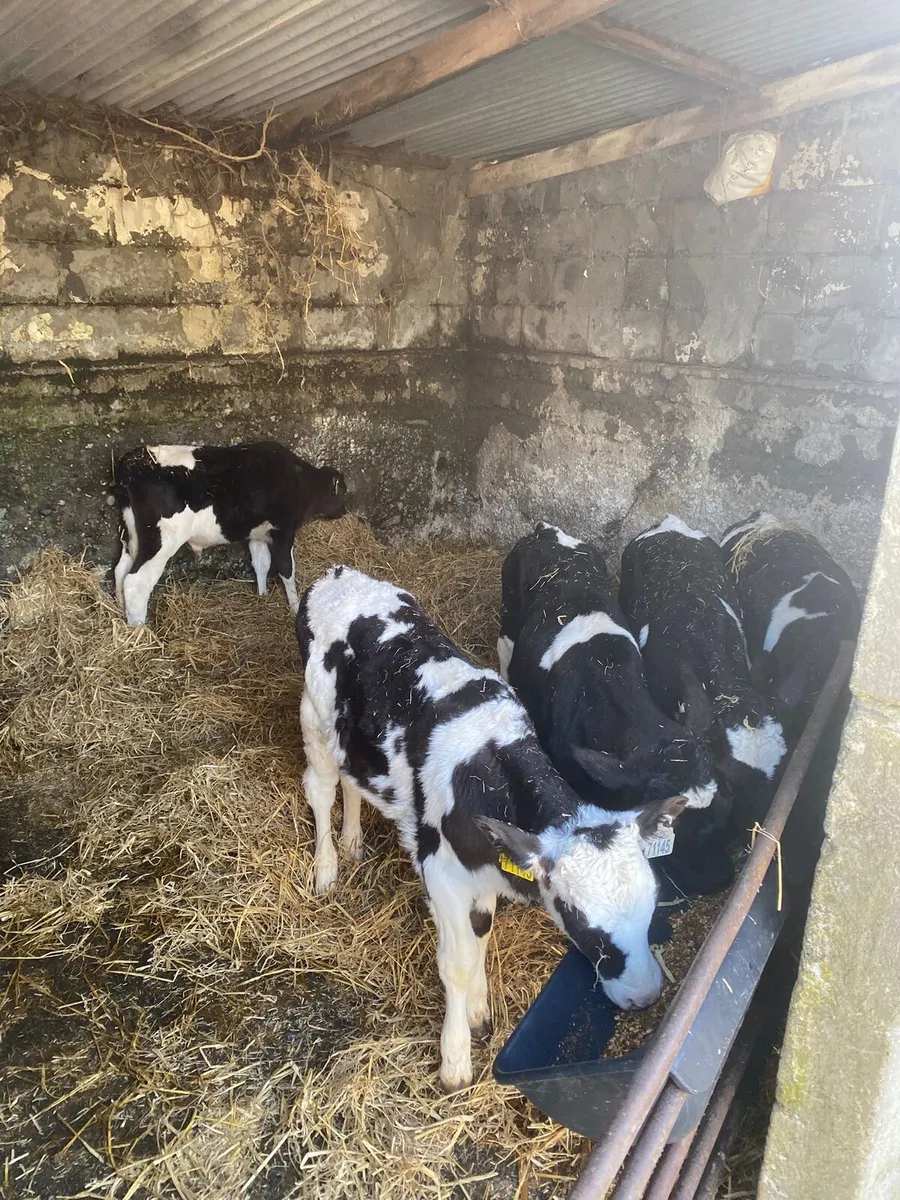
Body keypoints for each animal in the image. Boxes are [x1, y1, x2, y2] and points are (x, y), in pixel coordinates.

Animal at [112, 441, 347, 625]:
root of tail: (134, 461)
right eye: (342, 491)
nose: (345, 510)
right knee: (136, 582)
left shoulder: (256, 534)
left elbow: (261, 563)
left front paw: (262, 595)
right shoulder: (283, 532)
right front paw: (295, 607)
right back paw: (140, 631)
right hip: (161, 540)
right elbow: (286, 569)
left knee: (121, 570)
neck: (300, 482)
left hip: (132, 535)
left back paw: (122, 614)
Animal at [297, 565, 686, 1091]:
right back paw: (327, 867)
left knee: (351, 782)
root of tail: (337, 574)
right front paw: (455, 1059)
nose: (645, 997)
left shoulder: (487, 866)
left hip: (353, 739)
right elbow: (457, 963)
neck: (491, 764)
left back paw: (353, 840)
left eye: (650, 909)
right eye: (579, 921)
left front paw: (479, 1009)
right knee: (320, 789)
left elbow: (480, 934)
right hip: (313, 718)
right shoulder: (442, 873)